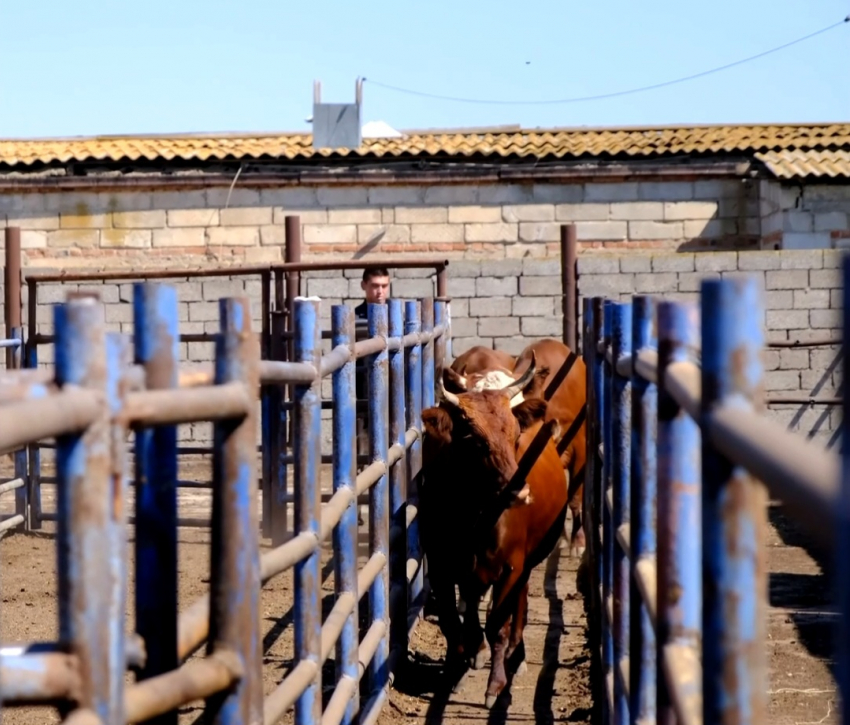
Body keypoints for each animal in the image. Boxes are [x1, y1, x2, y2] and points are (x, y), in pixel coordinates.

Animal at [420, 356, 568, 708]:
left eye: (515, 436)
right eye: (475, 441)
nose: (519, 492)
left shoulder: (511, 568)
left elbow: (497, 626)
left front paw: (495, 685)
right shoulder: (442, 567)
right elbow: (453, 623)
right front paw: (456, 669)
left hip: (528, 562)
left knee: (519, 603)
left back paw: (518, 653)